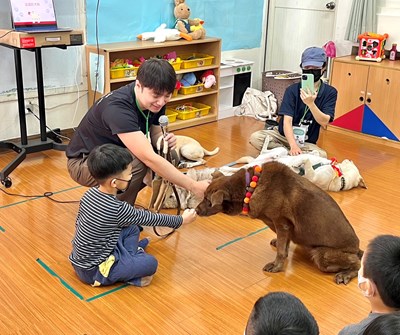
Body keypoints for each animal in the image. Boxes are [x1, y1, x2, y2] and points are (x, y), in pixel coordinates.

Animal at [197, 161, 362, 284]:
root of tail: (357, 248)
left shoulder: (281, 223)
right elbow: (284, 244)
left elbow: (281, 251)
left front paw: (276, 266)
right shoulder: (284, 227)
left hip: (322, 255)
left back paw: (345, 274)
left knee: (357, 264)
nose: (196, 210)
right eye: (203, 196)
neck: (250, 187)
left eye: (208, 201)